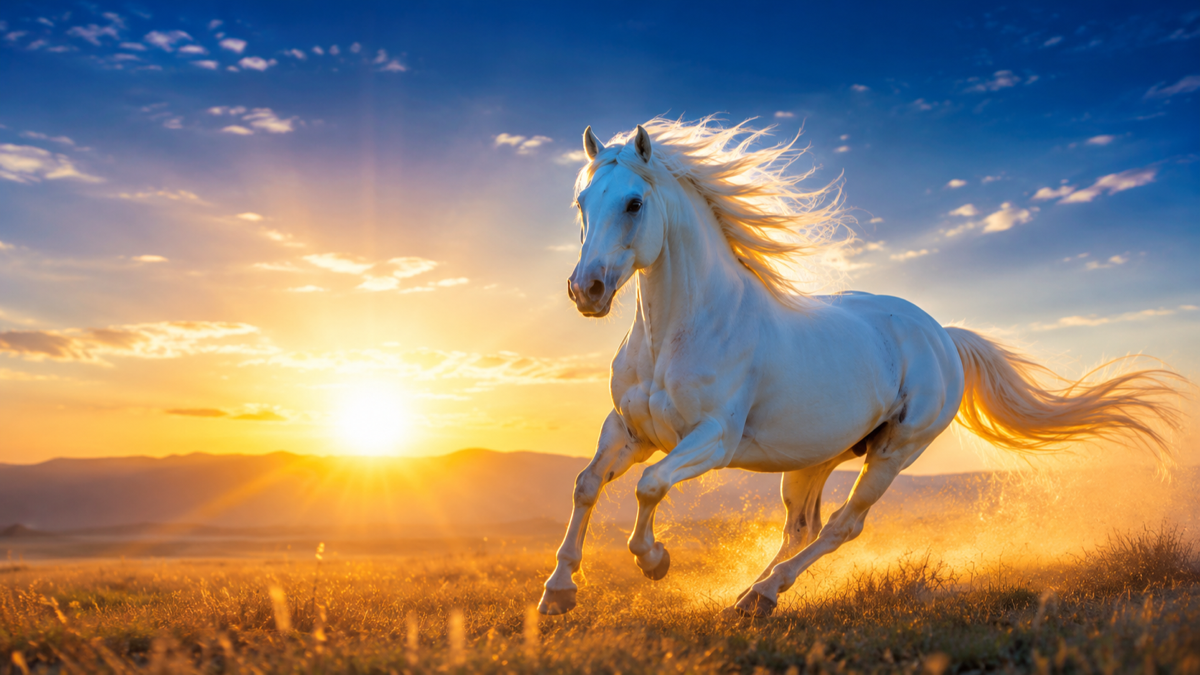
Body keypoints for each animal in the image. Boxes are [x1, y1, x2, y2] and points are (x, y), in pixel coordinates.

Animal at [537, 117, 1181, 618]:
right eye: (581, 203)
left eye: (634, 203)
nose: (586, 290)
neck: (683, 330)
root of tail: (941, 336)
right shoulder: (630, 430)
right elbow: (586, 484)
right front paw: (559, 591)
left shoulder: (711, 440)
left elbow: (649, 486)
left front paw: (654, 561)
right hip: (812, 458)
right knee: (803, 527)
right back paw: (750, 595)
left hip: (895, 451)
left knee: (845, 525)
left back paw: (763, 596)